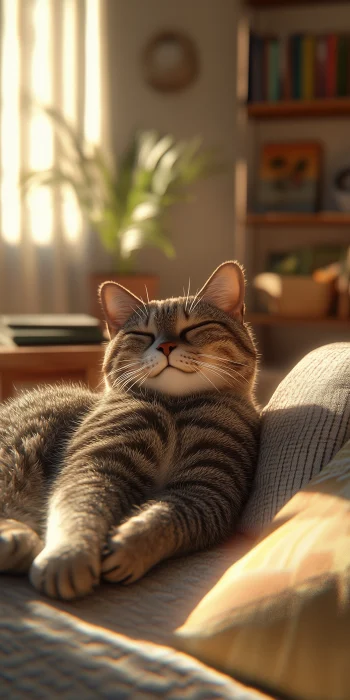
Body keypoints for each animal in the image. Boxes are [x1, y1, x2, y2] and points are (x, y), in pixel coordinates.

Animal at [0, 260, 260, 600]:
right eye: (142, 334)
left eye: (194, 328)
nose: (166, 345)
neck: (174, 407)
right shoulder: (96, 463)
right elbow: (80, 508)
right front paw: (69, 555)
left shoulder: (209, 487)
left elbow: (164, 517)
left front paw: (132, 547)